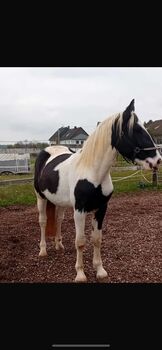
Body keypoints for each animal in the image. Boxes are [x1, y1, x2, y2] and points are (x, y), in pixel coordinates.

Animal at [33, 99, 161, 282]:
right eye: (135, 130)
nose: (157, 160)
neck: (92, 172)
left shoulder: (101, 209)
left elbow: (97, 239)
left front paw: (100, 270)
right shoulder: (79, 211)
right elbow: (80, 241)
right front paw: (80, 274)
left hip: (60, 201)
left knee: (58, 220)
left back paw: (59, 245)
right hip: (41, 198)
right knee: (43, 221)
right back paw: (43, 250)